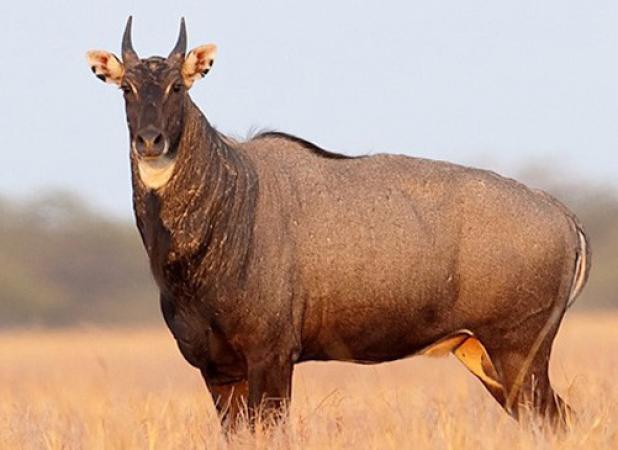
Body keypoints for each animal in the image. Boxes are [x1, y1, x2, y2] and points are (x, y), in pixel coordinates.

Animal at [85, 17, 588, 430]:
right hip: (481, 354)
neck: (229, 202)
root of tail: (563, 217)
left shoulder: (272, 356)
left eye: (177, 87)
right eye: (127, 88)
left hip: (519, 350)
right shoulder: (217, 369)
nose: (151, 141)